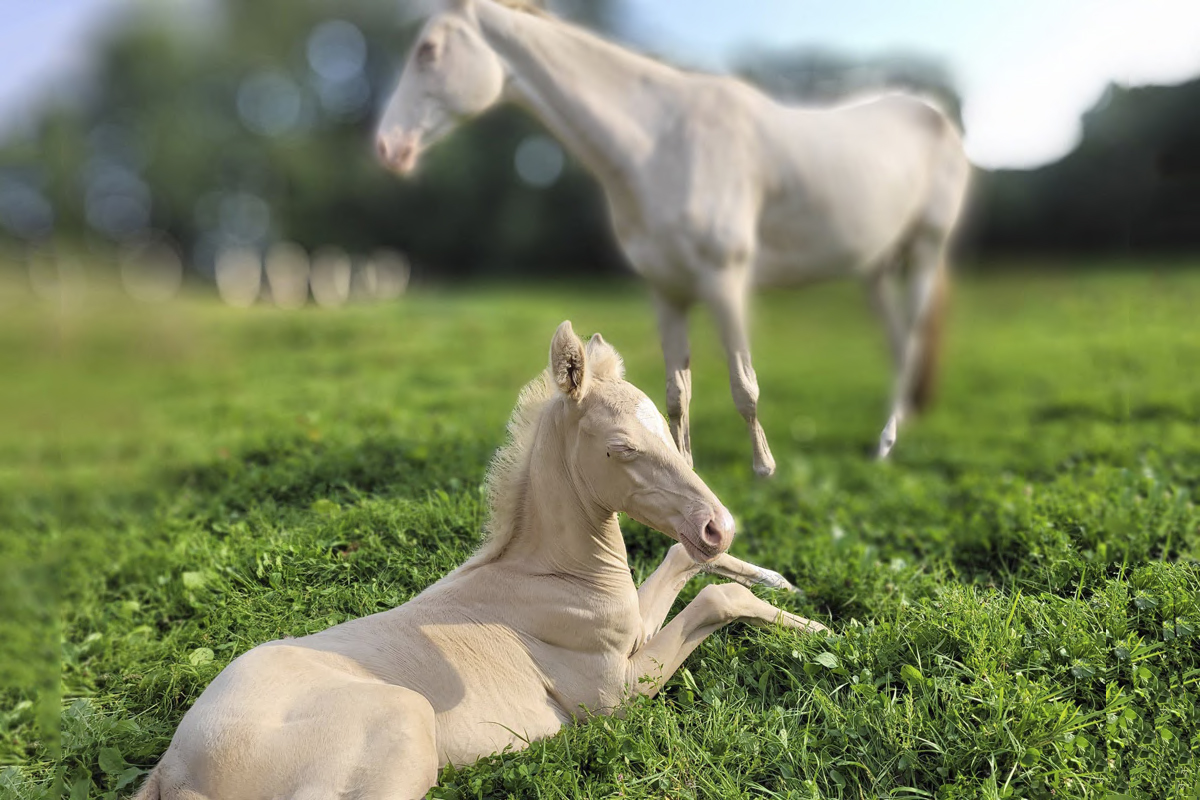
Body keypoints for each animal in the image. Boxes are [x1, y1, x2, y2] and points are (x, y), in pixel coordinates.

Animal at [131, 321, 825, 800]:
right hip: (404, 727)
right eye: (622, 448)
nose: (718, 526)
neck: (551, 578)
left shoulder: (632, 629)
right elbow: (713, 597)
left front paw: (784, 585)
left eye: (669, 429)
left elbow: (684, 565)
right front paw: (820, 629)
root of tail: (172, 767)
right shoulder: (613, 697)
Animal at [379, 0, 969, 474]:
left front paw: (764, 470)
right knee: (897, 340)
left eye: (428, 50)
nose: (388, 149)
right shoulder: (667, 291)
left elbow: (744, 386)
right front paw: (683, 468)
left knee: (910, 342)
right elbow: (675, 394)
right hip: (877, 267)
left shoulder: (724, 283)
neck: (660, 142)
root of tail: (940, 119)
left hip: (924, 249)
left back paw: (886, 444)